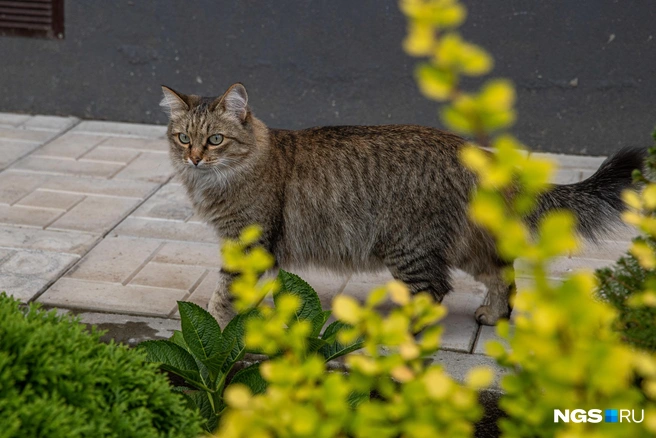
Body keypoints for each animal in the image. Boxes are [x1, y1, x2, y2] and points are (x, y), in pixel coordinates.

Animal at [161, 84, 644, 326]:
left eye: (215, 139)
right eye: (183, 138)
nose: (194, 157)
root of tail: (473, 151)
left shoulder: (248, 241)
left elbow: (224, 292)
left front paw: (218, 325)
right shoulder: (258, 247)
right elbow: (254, 292)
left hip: (409, 247)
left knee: (436, 292)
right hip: (462, 246)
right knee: (502, 274)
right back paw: (493, 314)